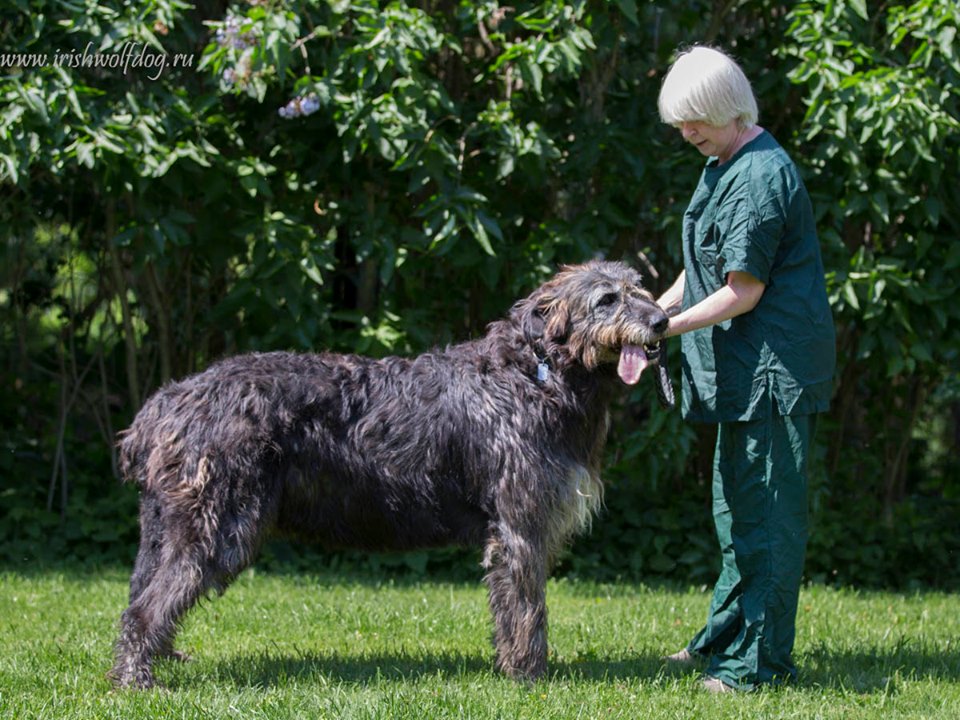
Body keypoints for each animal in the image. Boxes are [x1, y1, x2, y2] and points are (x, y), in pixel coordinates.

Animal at [110, 258, 668, 688]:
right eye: (606, 299)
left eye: (641, 289)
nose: (662, 320)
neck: (538, 373)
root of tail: (167, 402)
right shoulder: (519, 528)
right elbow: (527, 608)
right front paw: (528, 677)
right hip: (217, 527)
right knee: (144, 608)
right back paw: (137, 681)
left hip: (166, 528)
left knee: (142, 594)